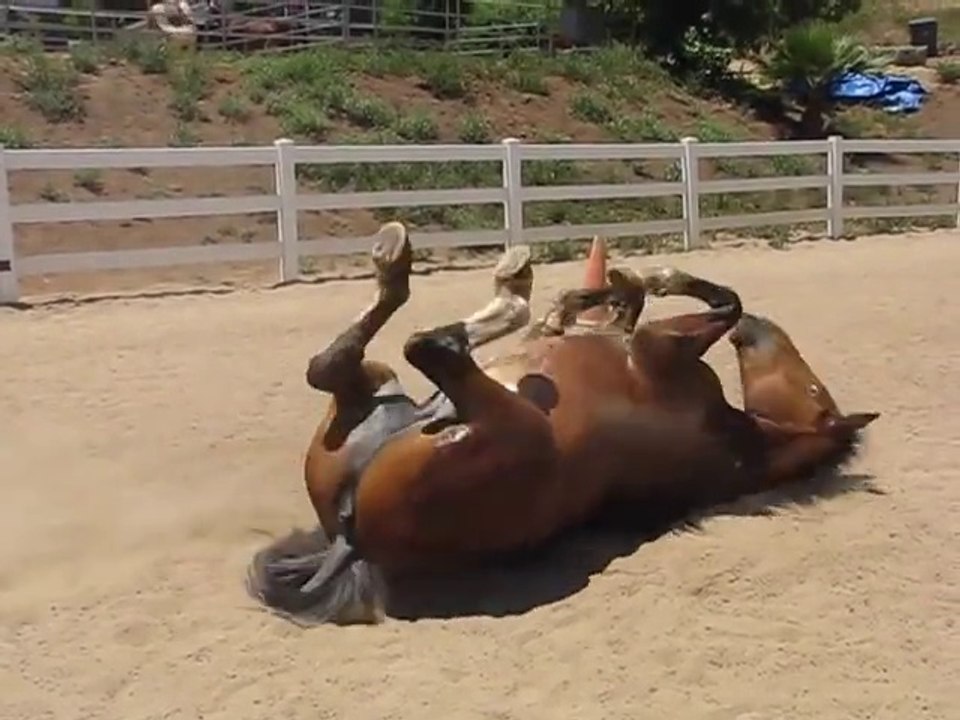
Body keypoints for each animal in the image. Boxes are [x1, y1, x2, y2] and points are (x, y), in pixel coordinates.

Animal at [246, 221, 879, 626]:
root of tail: (348, 538)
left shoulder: (659, 347)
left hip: (503, 422)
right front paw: (608, 290)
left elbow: (720, 302)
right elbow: (621, 308)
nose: (763, 330)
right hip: (380, 395)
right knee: (343, 365)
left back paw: (453, 279)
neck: (731, 438)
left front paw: (650, 278)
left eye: (815, 390)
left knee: (424, 347)